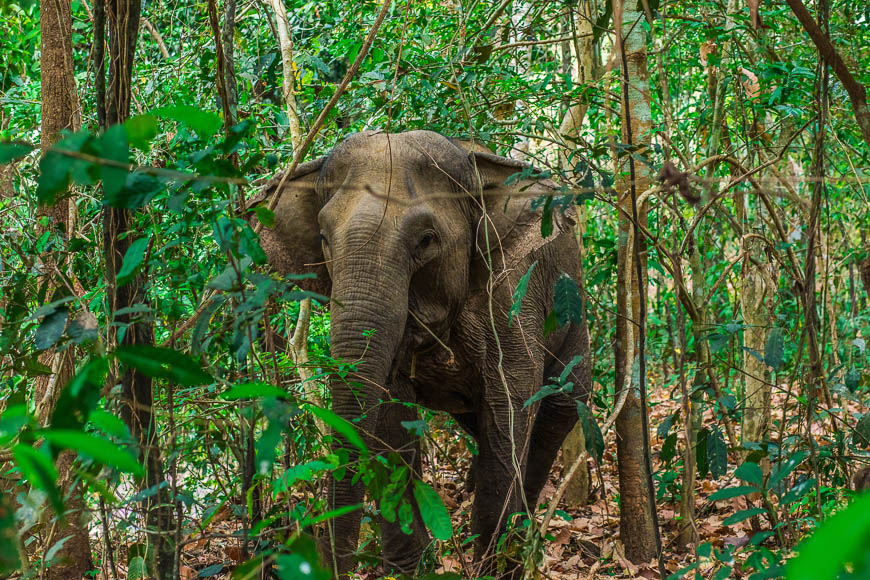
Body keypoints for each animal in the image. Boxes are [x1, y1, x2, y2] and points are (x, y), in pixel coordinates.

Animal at [250, 130, 591, 577]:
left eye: (426, 239)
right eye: (323, 238)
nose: (327, 561)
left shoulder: (513, 294)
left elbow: (511, 405)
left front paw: (492, 565)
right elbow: (390, 415)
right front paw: (411, 568)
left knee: (557, 412)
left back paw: (520, 535)